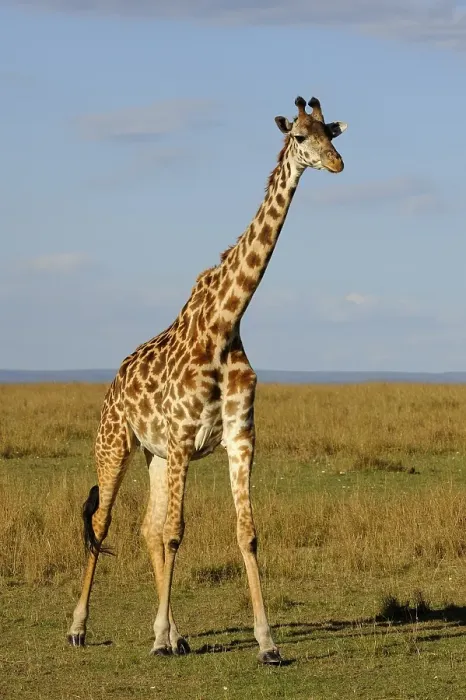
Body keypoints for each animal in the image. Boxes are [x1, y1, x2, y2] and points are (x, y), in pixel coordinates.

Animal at [67, 95, 347, 665]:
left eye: (331, 134)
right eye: (300, 137)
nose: (337, 164)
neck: (224, 324)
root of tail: (114, 383)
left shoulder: (238, 439)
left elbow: (247, 533)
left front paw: (267, 643)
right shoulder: (180, 441)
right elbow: (177, 534)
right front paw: (156, 638)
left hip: (153, 456)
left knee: (147, 528)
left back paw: (175, 633)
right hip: (117, 444)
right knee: (105, 524)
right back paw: (81, 628)